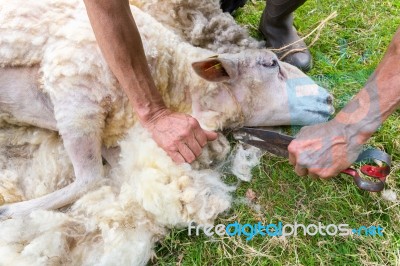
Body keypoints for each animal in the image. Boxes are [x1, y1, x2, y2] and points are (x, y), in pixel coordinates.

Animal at [0, 1, 332, 264]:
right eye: (270, 63)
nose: (329, 99)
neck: (175, 82)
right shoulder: (75, 91)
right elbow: (91, 178)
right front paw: (12, 212)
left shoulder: (110, 132)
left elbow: (110, 173)